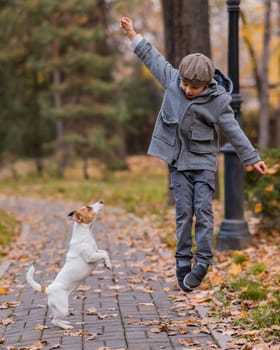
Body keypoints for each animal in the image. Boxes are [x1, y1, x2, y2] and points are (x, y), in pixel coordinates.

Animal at [25, 201, 110, 330]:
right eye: (89, 208)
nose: (101, 201)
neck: (85, 233)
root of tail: (48, 289)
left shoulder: (96, 251)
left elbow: (104, 252)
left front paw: (107, 263)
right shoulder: (90, 257)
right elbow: (103, 254)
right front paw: (108, 264)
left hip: (58, 309)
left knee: (53, 317)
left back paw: (65, 323)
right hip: (63, 308)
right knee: (54, 320)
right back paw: (66, 327)